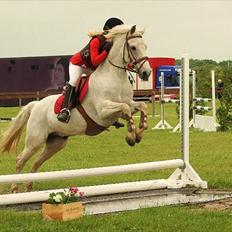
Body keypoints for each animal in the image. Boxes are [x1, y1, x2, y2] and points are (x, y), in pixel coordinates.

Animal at [0, 24, 151, 193]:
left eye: (145, 46)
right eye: (133, 47)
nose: (146, 73)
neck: (115, 77)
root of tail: (36, 105)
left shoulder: (128, 104)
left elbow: (141, 106)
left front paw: (139, 132)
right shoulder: (102, 112)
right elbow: (125, 108)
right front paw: (131, 136)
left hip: (56, 142)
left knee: (37, 162)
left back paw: (29, 187)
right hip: (35, 140)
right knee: (21, 160)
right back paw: (14, 188)